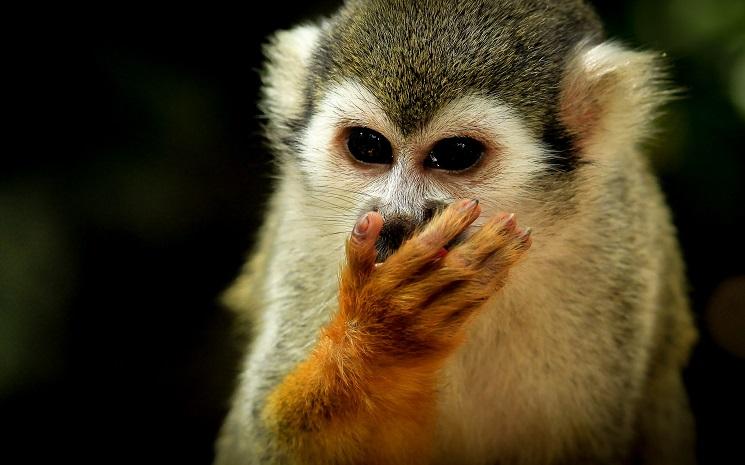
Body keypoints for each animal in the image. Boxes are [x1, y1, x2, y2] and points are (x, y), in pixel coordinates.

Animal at [214, 1, 698, 464]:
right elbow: (269, 443)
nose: (397, 220)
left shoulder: (614, 249)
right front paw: (383, 339)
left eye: (456, 154)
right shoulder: (305, 238)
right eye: (368, 146)